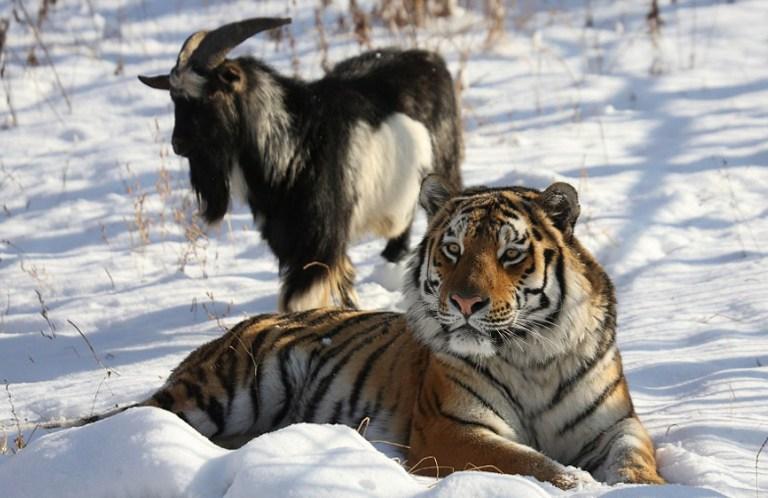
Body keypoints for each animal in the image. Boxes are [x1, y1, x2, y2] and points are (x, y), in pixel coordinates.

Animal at [72, 176, 664, 490]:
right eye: (453, 250)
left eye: (509, 253)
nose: (464, 302)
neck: (531, 356)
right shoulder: (450, 428)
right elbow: (531, 463)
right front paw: (578, 485)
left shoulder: (615, 423)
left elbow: (636, 459)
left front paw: (647, 489)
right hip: (225, 390)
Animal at [138, 18, 462, 312]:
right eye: (174, 98)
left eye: (211, 94)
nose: (178, 143)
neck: (294, 144)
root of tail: (430, 59)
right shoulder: (291, 241)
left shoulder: (319, 239)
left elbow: (299, 299)